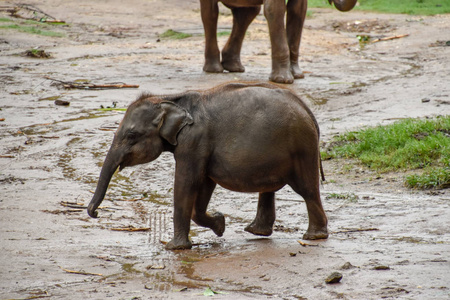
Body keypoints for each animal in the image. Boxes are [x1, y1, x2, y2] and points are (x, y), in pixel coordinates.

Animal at [88, 82, 326, 251]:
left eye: (131, 135)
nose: (95, 214)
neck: (169, 99)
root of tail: (308, 110)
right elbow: (204, 185)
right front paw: (220, 225)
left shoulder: (194, 142)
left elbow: (186, 183)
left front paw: (174, 248)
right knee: (270, 189)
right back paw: (256, 232)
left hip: (302, 149)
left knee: (307, 190)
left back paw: (314, 236)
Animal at [202, 0, 356, 83]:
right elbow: (274, 9)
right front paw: (283, 80)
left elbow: (298, 10)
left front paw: (297, 76)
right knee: (210, 13)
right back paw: (214, 70)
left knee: (247, 12)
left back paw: (234, 68)